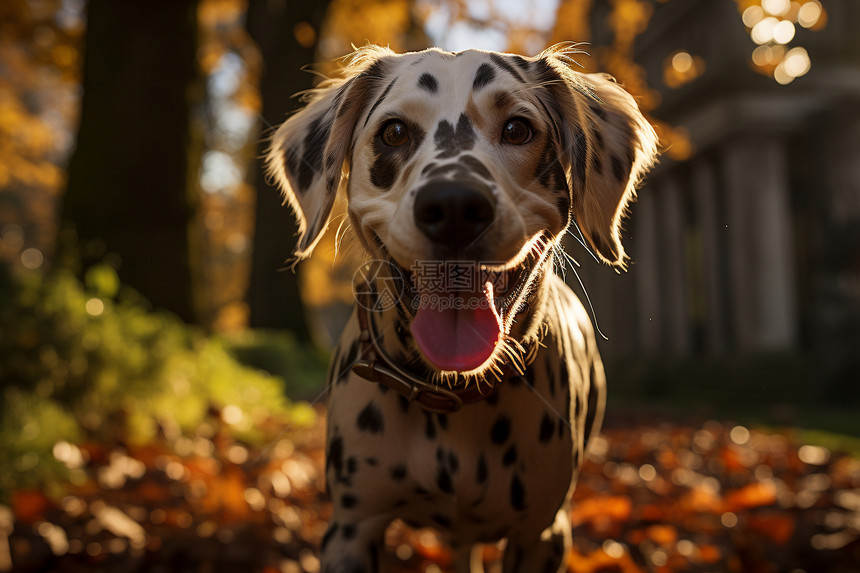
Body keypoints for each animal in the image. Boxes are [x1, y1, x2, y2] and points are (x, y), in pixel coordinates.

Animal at [268, 44, 660, 572]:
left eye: (518, 128)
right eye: (394, 132)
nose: (453, 205)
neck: (452, 395)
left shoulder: (542, 534)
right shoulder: (351, 529)